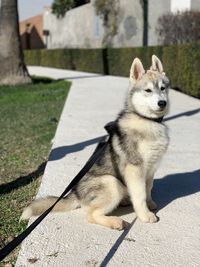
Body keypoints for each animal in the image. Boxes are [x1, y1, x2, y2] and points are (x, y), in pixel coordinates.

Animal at [21, 55, 169, 231]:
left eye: (163, 88)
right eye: (148, 91)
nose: (162, 103)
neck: (147, 120)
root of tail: (75, 193)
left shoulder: (151, 168)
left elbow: (148, 189)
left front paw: (150, 204)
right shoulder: (135, 169)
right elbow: (140, 195)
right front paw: (145, 215)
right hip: (112, 183)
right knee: (91, 214)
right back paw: (115, 222)